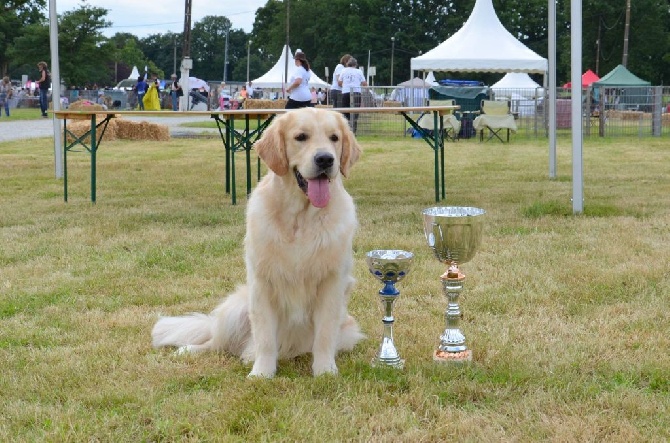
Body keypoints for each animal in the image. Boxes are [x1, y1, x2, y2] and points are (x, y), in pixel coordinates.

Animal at [152, 107, 364, 378]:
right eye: (301, 137)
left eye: (334, 138)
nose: (326, 159)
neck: (300, 220)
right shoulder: (263, 283)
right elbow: (265, 337)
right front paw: (262, 373)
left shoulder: (332, 283)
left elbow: (325, 334)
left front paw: (325, 371)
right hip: (235, 310)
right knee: (218, 343)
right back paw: (191, 350)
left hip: (347, 332)